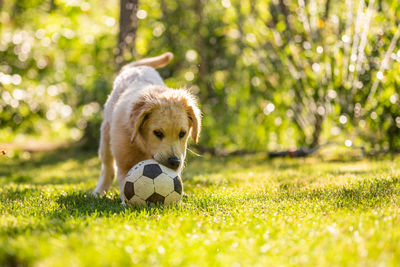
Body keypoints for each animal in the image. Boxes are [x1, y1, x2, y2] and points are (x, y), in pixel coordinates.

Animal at [93, 52, 200, 203]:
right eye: (158, 133)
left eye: (182, 134)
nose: (174, 162)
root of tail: (136, 68)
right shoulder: (124, 159)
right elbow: (124, 181)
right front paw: (126, 202)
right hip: (106, 137)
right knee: (108, 168)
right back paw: (98, 191)